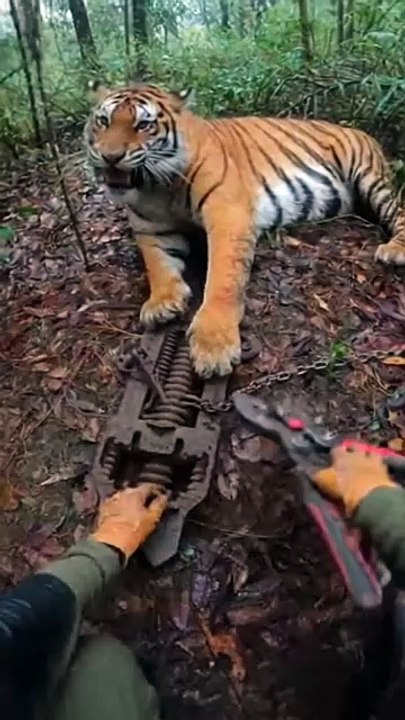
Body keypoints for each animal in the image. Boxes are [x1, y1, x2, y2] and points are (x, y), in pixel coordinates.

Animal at [84, 81, 405, 378]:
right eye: (104, 121)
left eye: (143, 125)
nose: (110, 156)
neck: (156, 188)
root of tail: (363, 132)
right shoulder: (150, 230)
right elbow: (157, 266)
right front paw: (162, 303)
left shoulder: (228, 214)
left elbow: (222, 279)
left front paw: (214, 347)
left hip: (370, 177)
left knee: (398, 211)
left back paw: (394, 251)